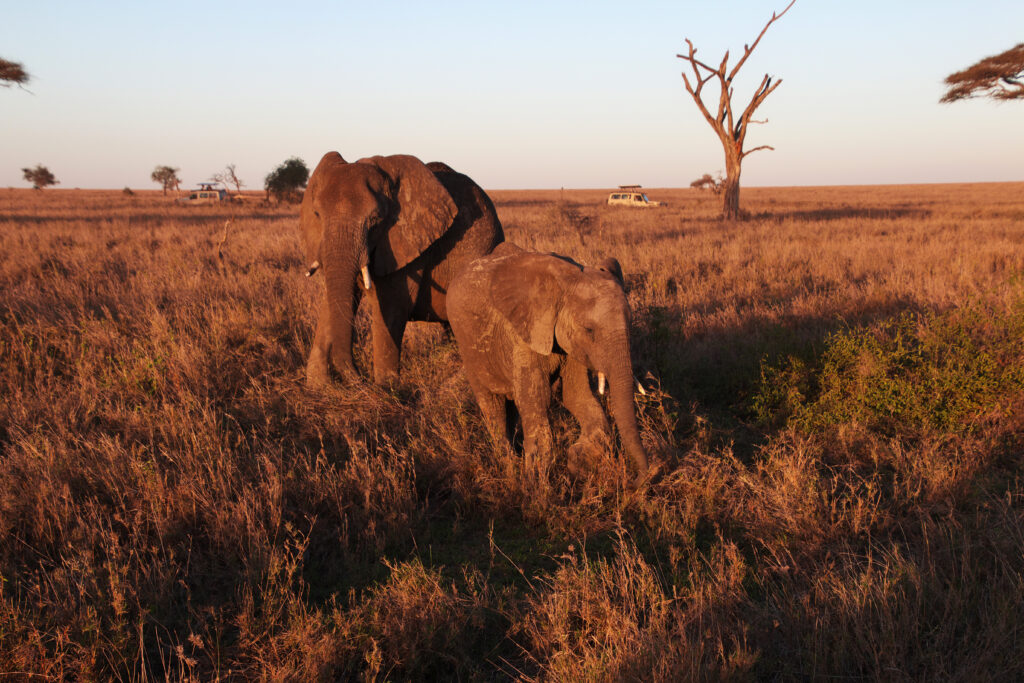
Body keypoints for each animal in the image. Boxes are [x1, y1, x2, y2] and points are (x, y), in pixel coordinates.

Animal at [300, 152, 504, 386]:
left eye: (376, 220)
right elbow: (333, 299)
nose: (358, 377)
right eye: (317, 214)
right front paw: (318, 385)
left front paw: (385, 387)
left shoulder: (408, 244)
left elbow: (392, 306)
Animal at [447, 242, 649, 478]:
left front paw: (577, 460)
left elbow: (577, 396)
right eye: (589, 330)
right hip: (468, 348)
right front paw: (534, 482)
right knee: (492, 406)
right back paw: (509, 466)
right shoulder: (523, 335)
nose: (642, 478)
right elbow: (539, 402)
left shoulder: (571, 344)